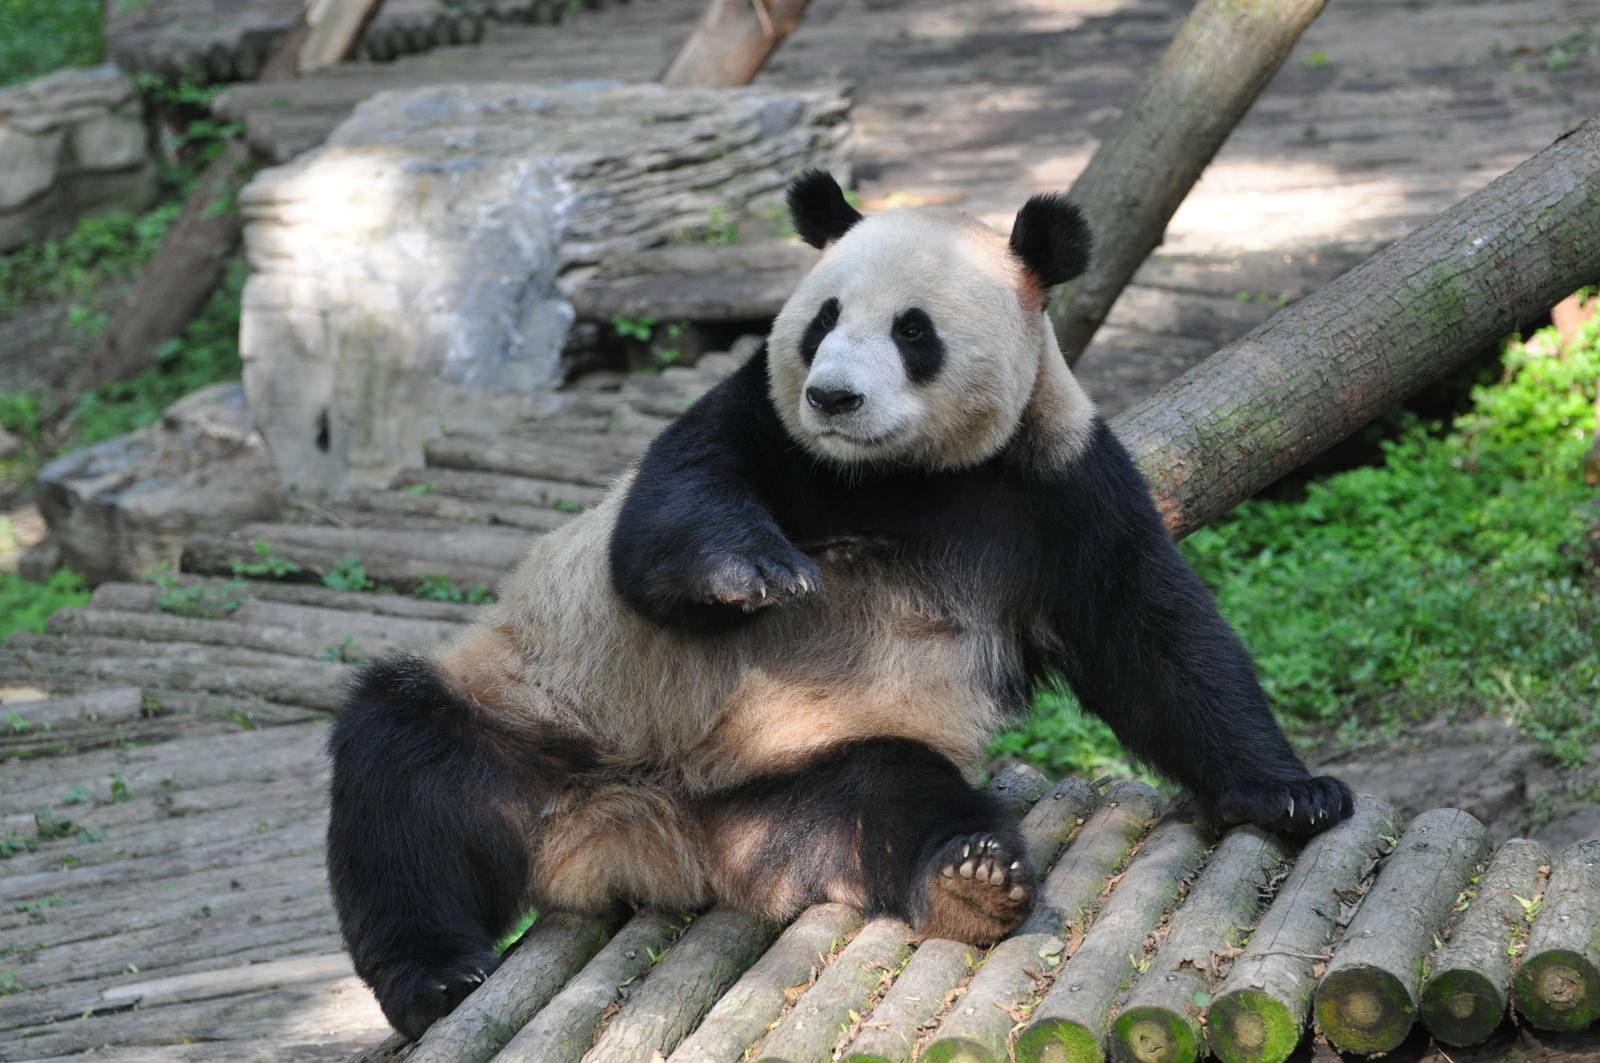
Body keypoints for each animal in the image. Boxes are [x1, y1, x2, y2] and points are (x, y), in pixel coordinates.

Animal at [325, 170, 1355, 1040]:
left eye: (913, 330)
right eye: (821, 319)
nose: (833, 396)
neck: (897, 475)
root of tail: (641, 828)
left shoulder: (1057, 476)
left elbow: (1152, 634)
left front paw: (1293, 790)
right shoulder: (760, 420)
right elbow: (665, 523)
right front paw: (755, 572)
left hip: (800, 775)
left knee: (892, 797)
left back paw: (970, 878)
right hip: (534, 715)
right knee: (405, 773)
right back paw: (435, 977)